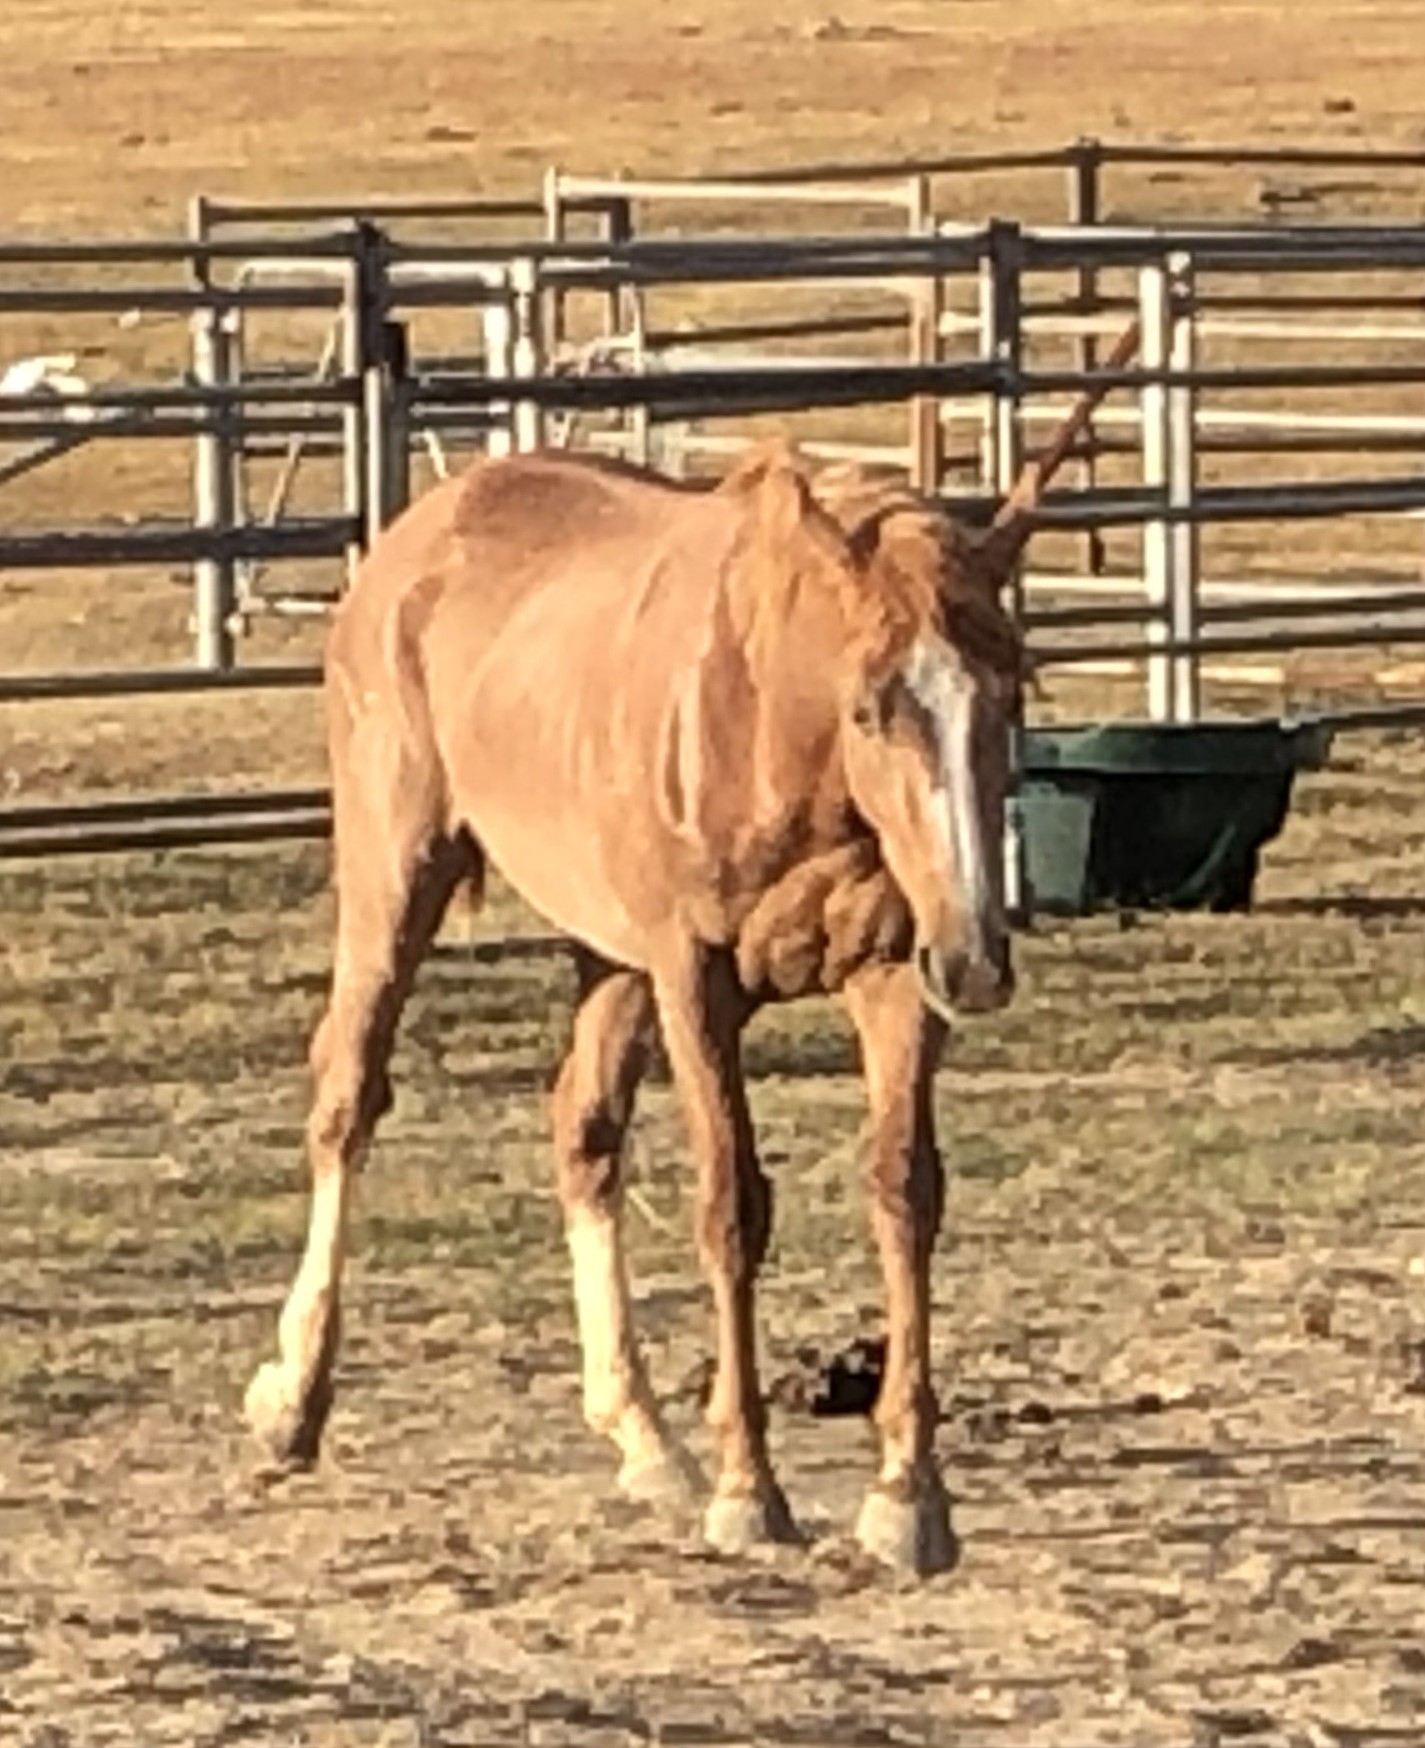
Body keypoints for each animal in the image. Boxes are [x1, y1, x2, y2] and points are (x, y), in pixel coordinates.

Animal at [245, 329, 1136, 1577]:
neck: (773, 726)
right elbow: (730, 1203)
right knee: (347, 1098)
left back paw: (642, 1435)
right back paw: (293, 1400)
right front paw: (748, 1488)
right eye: (872, 708)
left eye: (1009, 693)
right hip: (396, 871)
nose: (977, 959)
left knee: (582, 1133)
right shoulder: (695, 978)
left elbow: (904, 1190)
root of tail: (418, 537)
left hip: (605, 953)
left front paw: (909, 1496)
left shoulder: (891, 980)